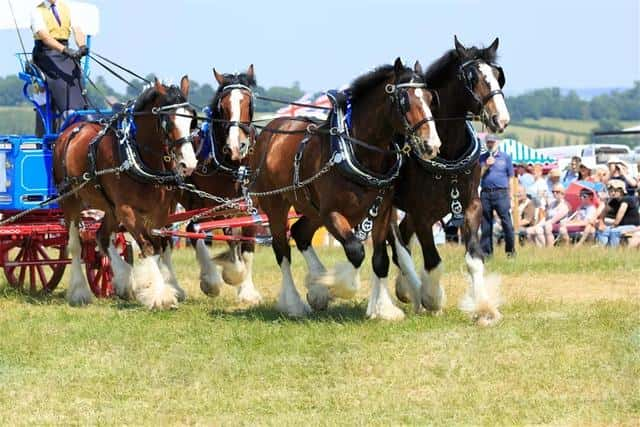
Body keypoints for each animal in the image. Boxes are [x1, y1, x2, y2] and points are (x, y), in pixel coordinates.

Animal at [53, 77, 196, 310]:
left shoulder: (161, 211)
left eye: (192, 119)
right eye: (167, 121)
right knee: (75, 245)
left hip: (110, 208)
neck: (137, 156)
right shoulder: (127, 210)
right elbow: (148, 246)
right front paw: (159, 294)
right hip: (71, 201)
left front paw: (167, 287)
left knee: (101, 236)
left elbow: (160, 245)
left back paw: (122, 281)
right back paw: (80, 292)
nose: (189, 164)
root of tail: (69, 131)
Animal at [178, 65, 262, 306]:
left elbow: (245, 244)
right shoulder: (203, 206)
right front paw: (214, 281)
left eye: (248, 104)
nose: (236, 146)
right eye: (222, 107)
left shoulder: (249, 206)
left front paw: (246, 290)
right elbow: (200, 235)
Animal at [252, 58, 442, 320]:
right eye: (404, 101)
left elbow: (380, 259)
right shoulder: (332, 213)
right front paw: (339, 286)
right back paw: (294, 303)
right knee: (282, 250)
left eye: (430, 98)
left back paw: (317, 288)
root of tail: (270, 130)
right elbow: (355, 250)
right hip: (277, 206)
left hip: (313, 210)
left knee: (300, 233)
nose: (432, 145)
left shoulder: (382, 211)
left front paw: (382, 308)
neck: (358, 152)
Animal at [390, 36, 510, 326]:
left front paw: (484, 309)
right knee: (397, 243)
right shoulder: (422, 213)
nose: (501, 119)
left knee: (404, 236)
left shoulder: (471, 205)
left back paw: (405, 289)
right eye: (472, 77)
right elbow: (433, 260)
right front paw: (433, 298)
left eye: (497, 75)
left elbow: (474, 258)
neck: (448, 149)